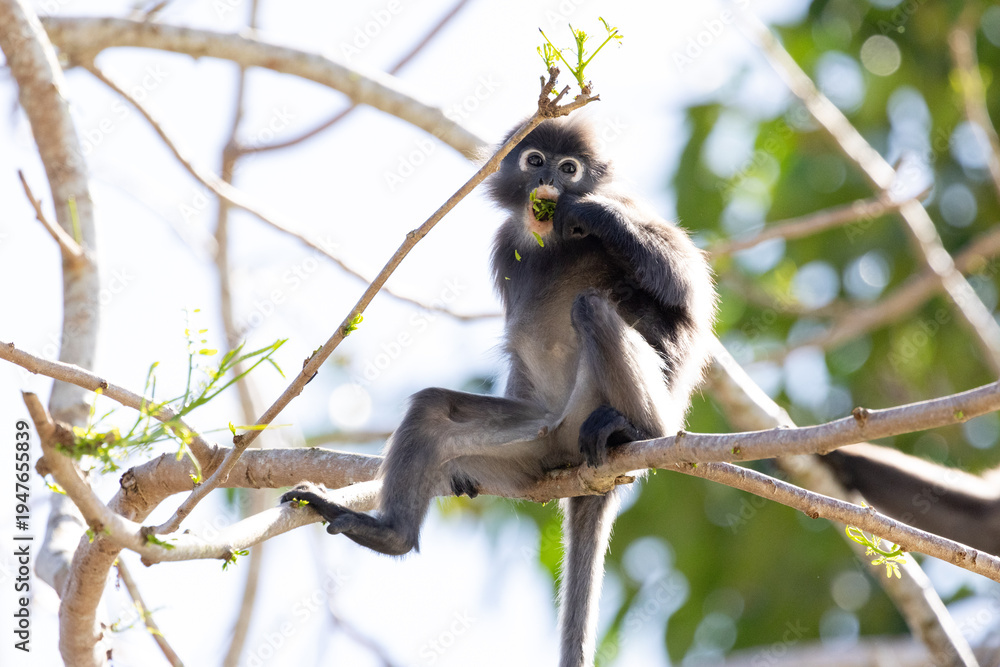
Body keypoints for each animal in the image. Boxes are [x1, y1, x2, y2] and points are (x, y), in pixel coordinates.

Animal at [282, 116, 717, 667]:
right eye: (535, 160)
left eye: (569, 169)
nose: (547, 180)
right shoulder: (503, 241)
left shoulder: (629, 207)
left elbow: (686, 292)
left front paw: (591, 213)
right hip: (534, 447)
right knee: (432, 410)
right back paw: (388, 534)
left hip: (601, 411)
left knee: (594, 309)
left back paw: (636, 430)